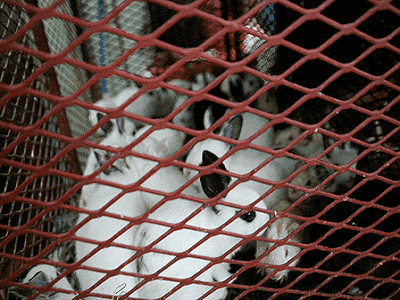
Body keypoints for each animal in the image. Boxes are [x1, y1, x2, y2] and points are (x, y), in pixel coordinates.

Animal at [132, 151, 268, 298]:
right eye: (248, 215)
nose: (267, 220)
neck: (217, 223)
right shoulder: (215, 261)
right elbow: (220, 273)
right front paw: (230, 277)